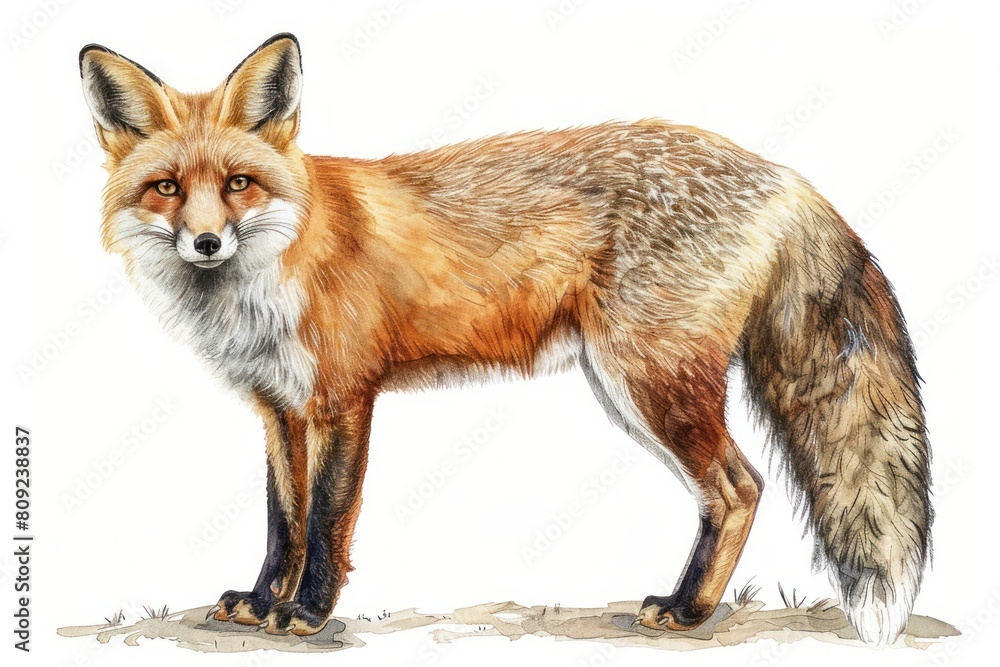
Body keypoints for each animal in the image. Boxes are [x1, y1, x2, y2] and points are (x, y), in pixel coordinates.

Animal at [79, 33, 932, 645]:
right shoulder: (279, 409)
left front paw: (308, 611)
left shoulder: (343, 399)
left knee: (740, 487)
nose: (206, 244)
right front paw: (263, 600)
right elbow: (281, 520)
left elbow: (325, 520)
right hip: (631, 388)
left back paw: (689, 609)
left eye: (237, 184)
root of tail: (782, 174)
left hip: (648, 383)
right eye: (166, 189)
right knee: (735, 489)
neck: (274, 267)